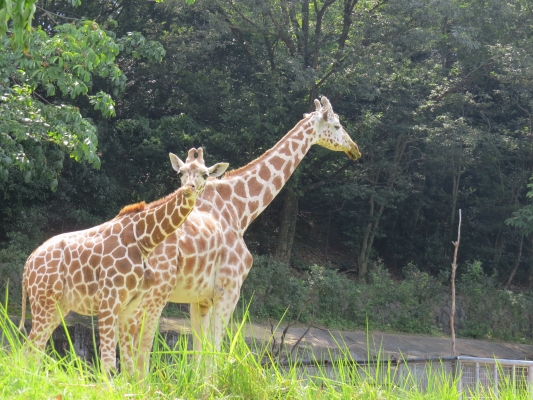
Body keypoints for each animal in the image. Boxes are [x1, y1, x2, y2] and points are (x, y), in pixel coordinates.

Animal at [18, 148, 229, 374]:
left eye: (205, 174)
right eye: (180, 173)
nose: (188, 189)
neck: (144, 241)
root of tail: (27, 264)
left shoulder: (128, 307)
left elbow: (128, 365)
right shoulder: (108, 303)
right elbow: (109, 364)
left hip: (58, 306)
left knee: (34, 349)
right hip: (43, 302)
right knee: (30, 347)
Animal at [121, 96, 361, 377]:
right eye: (336, 125)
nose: (355, 149)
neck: (240, 211)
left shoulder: (201, 298)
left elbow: (200, 352)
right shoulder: (230, 289)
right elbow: (214, 350)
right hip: (153, 293)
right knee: (139, 343)